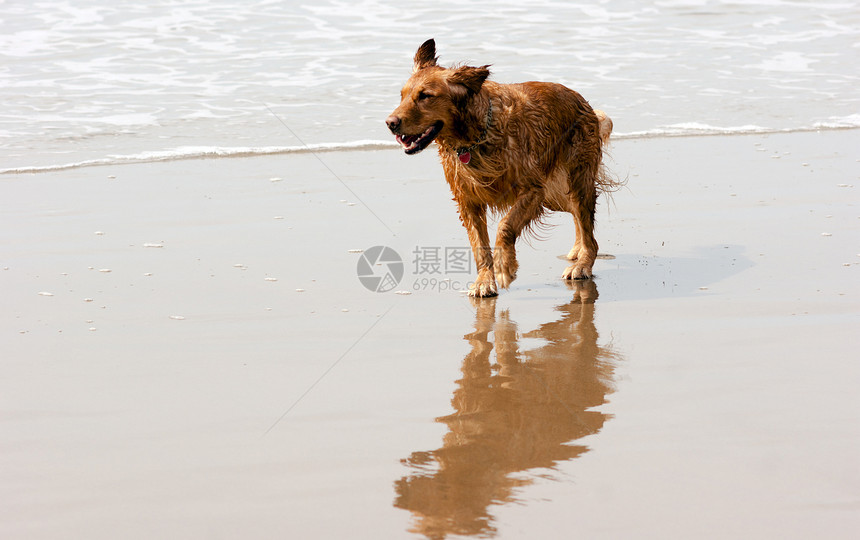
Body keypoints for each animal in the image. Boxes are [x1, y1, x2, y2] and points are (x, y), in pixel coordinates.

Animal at [386, 39, 616, 298]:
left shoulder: (532, 190)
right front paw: (485, 280)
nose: (390, 123)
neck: (474, 137)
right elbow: (479, 245)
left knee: (588, 231)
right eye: (402, 95)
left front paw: (504, 267)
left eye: (425, 96)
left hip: (576, 181)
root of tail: (584, 103)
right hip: (555, 194)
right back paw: (577, 250)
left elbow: (506, 226)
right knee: (577, 217)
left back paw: (582, 264)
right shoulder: (468, 201)